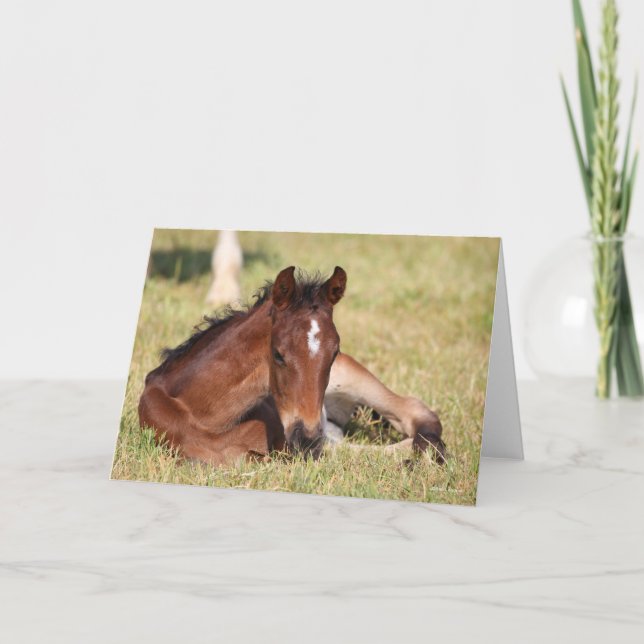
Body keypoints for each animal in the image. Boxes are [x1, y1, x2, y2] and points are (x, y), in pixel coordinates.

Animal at [139, 266, 445, 465]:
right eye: (278, 355)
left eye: (334, 353)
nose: (306, 438)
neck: (202, 415)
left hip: (352, 379)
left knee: (412, 411)